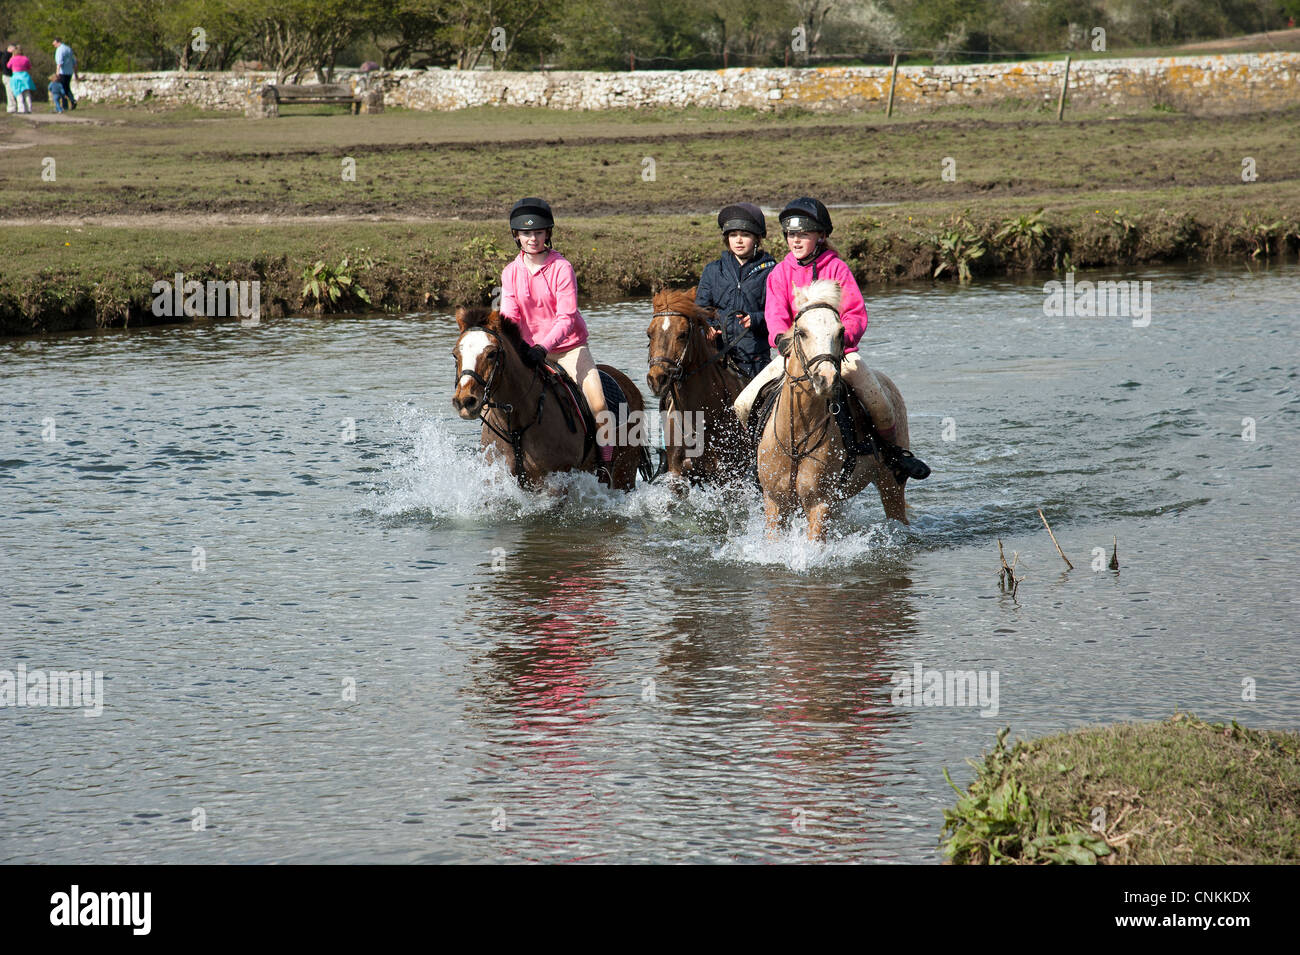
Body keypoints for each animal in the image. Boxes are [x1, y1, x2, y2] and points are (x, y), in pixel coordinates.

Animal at [452, 306, 644, 493]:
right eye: (455, 355)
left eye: (491, 353)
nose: (465, 402)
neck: (516, 429)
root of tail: (628, 384)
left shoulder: (557, 483)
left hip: (624, 473)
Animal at [759, 280, 909, 540]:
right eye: (801, 332)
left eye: (840, 332)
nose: (826, 379)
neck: (797, 437)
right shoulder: (775, 503)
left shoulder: (820, 503)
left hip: (891, 485)